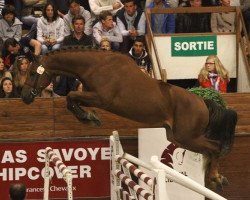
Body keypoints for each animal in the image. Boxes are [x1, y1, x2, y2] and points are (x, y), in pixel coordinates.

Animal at [21, 47, 236, 191]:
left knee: (215, 147)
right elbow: (71, 98)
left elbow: (71, 96)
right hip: (178, 138)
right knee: (209, 151)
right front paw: (88, 117)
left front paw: (89, 118)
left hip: (187, 137)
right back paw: (216, 178)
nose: (25, 97)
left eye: (32, 72)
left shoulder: (101, 98)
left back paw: (216, 178)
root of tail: (202, 101)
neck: (95, 66)